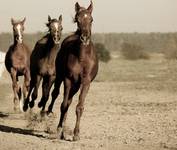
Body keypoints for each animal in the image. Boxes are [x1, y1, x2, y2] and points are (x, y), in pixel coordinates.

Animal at [47, 1, 99, 141]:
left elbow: (79, 107)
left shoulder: (85, 82)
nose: (84, 38)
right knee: (56, 94)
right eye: (77, 20)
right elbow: (64, 105)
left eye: (91, 19)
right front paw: (59, 130)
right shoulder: (68, 79)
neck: (82, 58)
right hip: (61, 78)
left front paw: (76, 134)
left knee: (70, 101)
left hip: (76, 85)